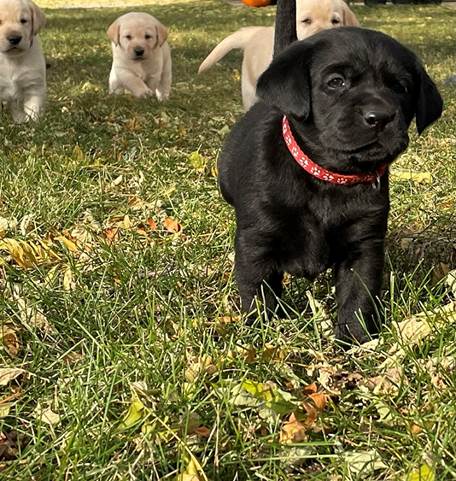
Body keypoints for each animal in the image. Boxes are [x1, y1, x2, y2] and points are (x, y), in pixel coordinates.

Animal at [219, 28, 444, 344]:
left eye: (400, 87)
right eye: (336, 82)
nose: (380, 116)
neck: (329, 178)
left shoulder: (364, 246)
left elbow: (358, 296)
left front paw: (355, 341)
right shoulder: (257, 242)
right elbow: (258, 292)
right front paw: (262, 336)